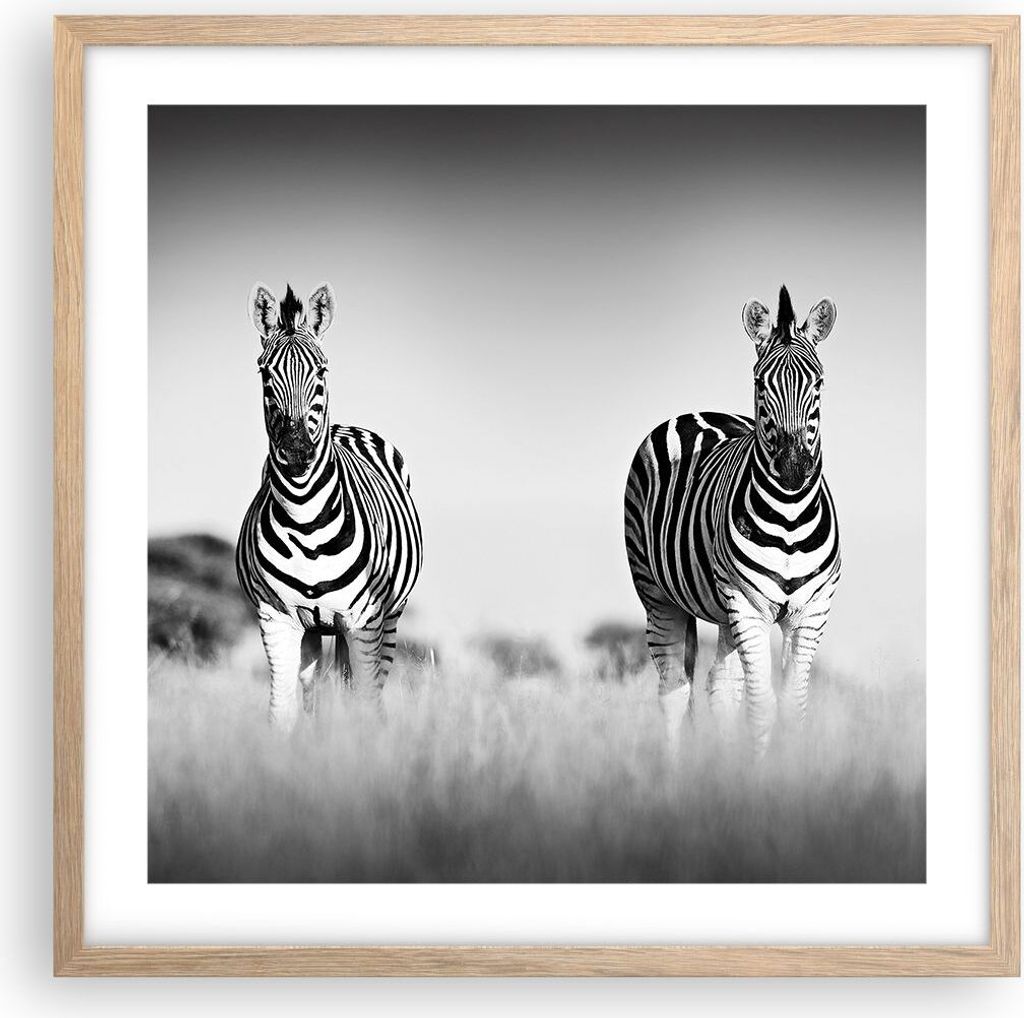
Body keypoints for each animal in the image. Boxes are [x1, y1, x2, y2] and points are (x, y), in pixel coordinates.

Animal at [236, 282, 422, 728]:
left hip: (389, 619)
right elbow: (282, 712)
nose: (296, 451)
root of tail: (345, 426)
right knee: (315, 691)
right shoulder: (277, 619)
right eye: (264, 373)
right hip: (315, 630)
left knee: (367, 690)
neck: (306, 520)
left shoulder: (365, 622)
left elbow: (366, 705)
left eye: (321, 371)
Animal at [624, 286, 841, 754]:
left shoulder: (810, 611)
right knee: (674, 689)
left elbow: (792, 706)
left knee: (720, 686)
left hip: (724, 613)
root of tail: (697, 411)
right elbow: (761, 706)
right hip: (658, 594)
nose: (793, 468)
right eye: (760, 383)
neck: (790, 516)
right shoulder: (747, 604)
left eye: (818, 382)